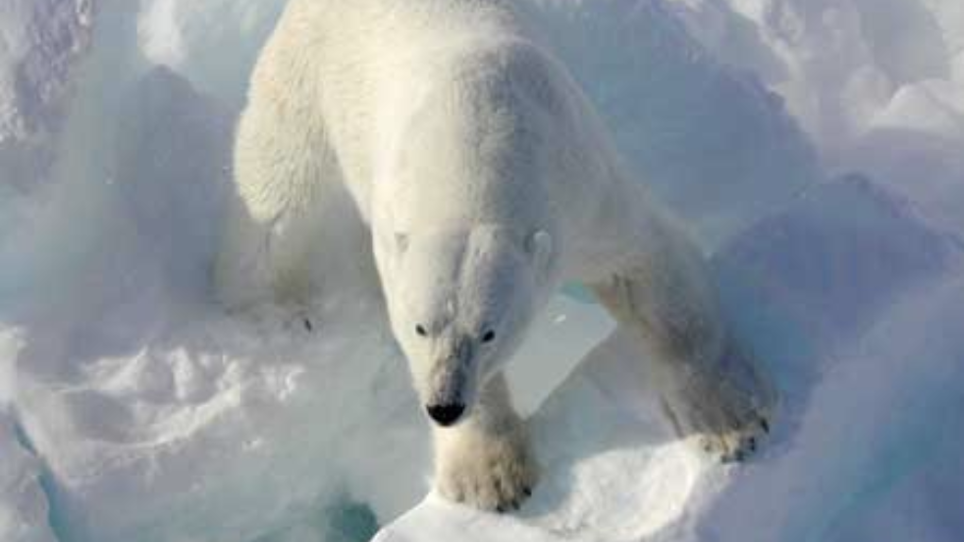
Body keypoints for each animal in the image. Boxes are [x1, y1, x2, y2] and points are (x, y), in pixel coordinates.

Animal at [215, 0, 776, 513]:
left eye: (489, 332)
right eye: (420, 327)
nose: (444, 406)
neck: (475, 138)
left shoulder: (579, 189)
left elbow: (648, 271)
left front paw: (731, 424)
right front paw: (490, 479)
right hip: (307, 66)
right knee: (274, 189)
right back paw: (260, 301)